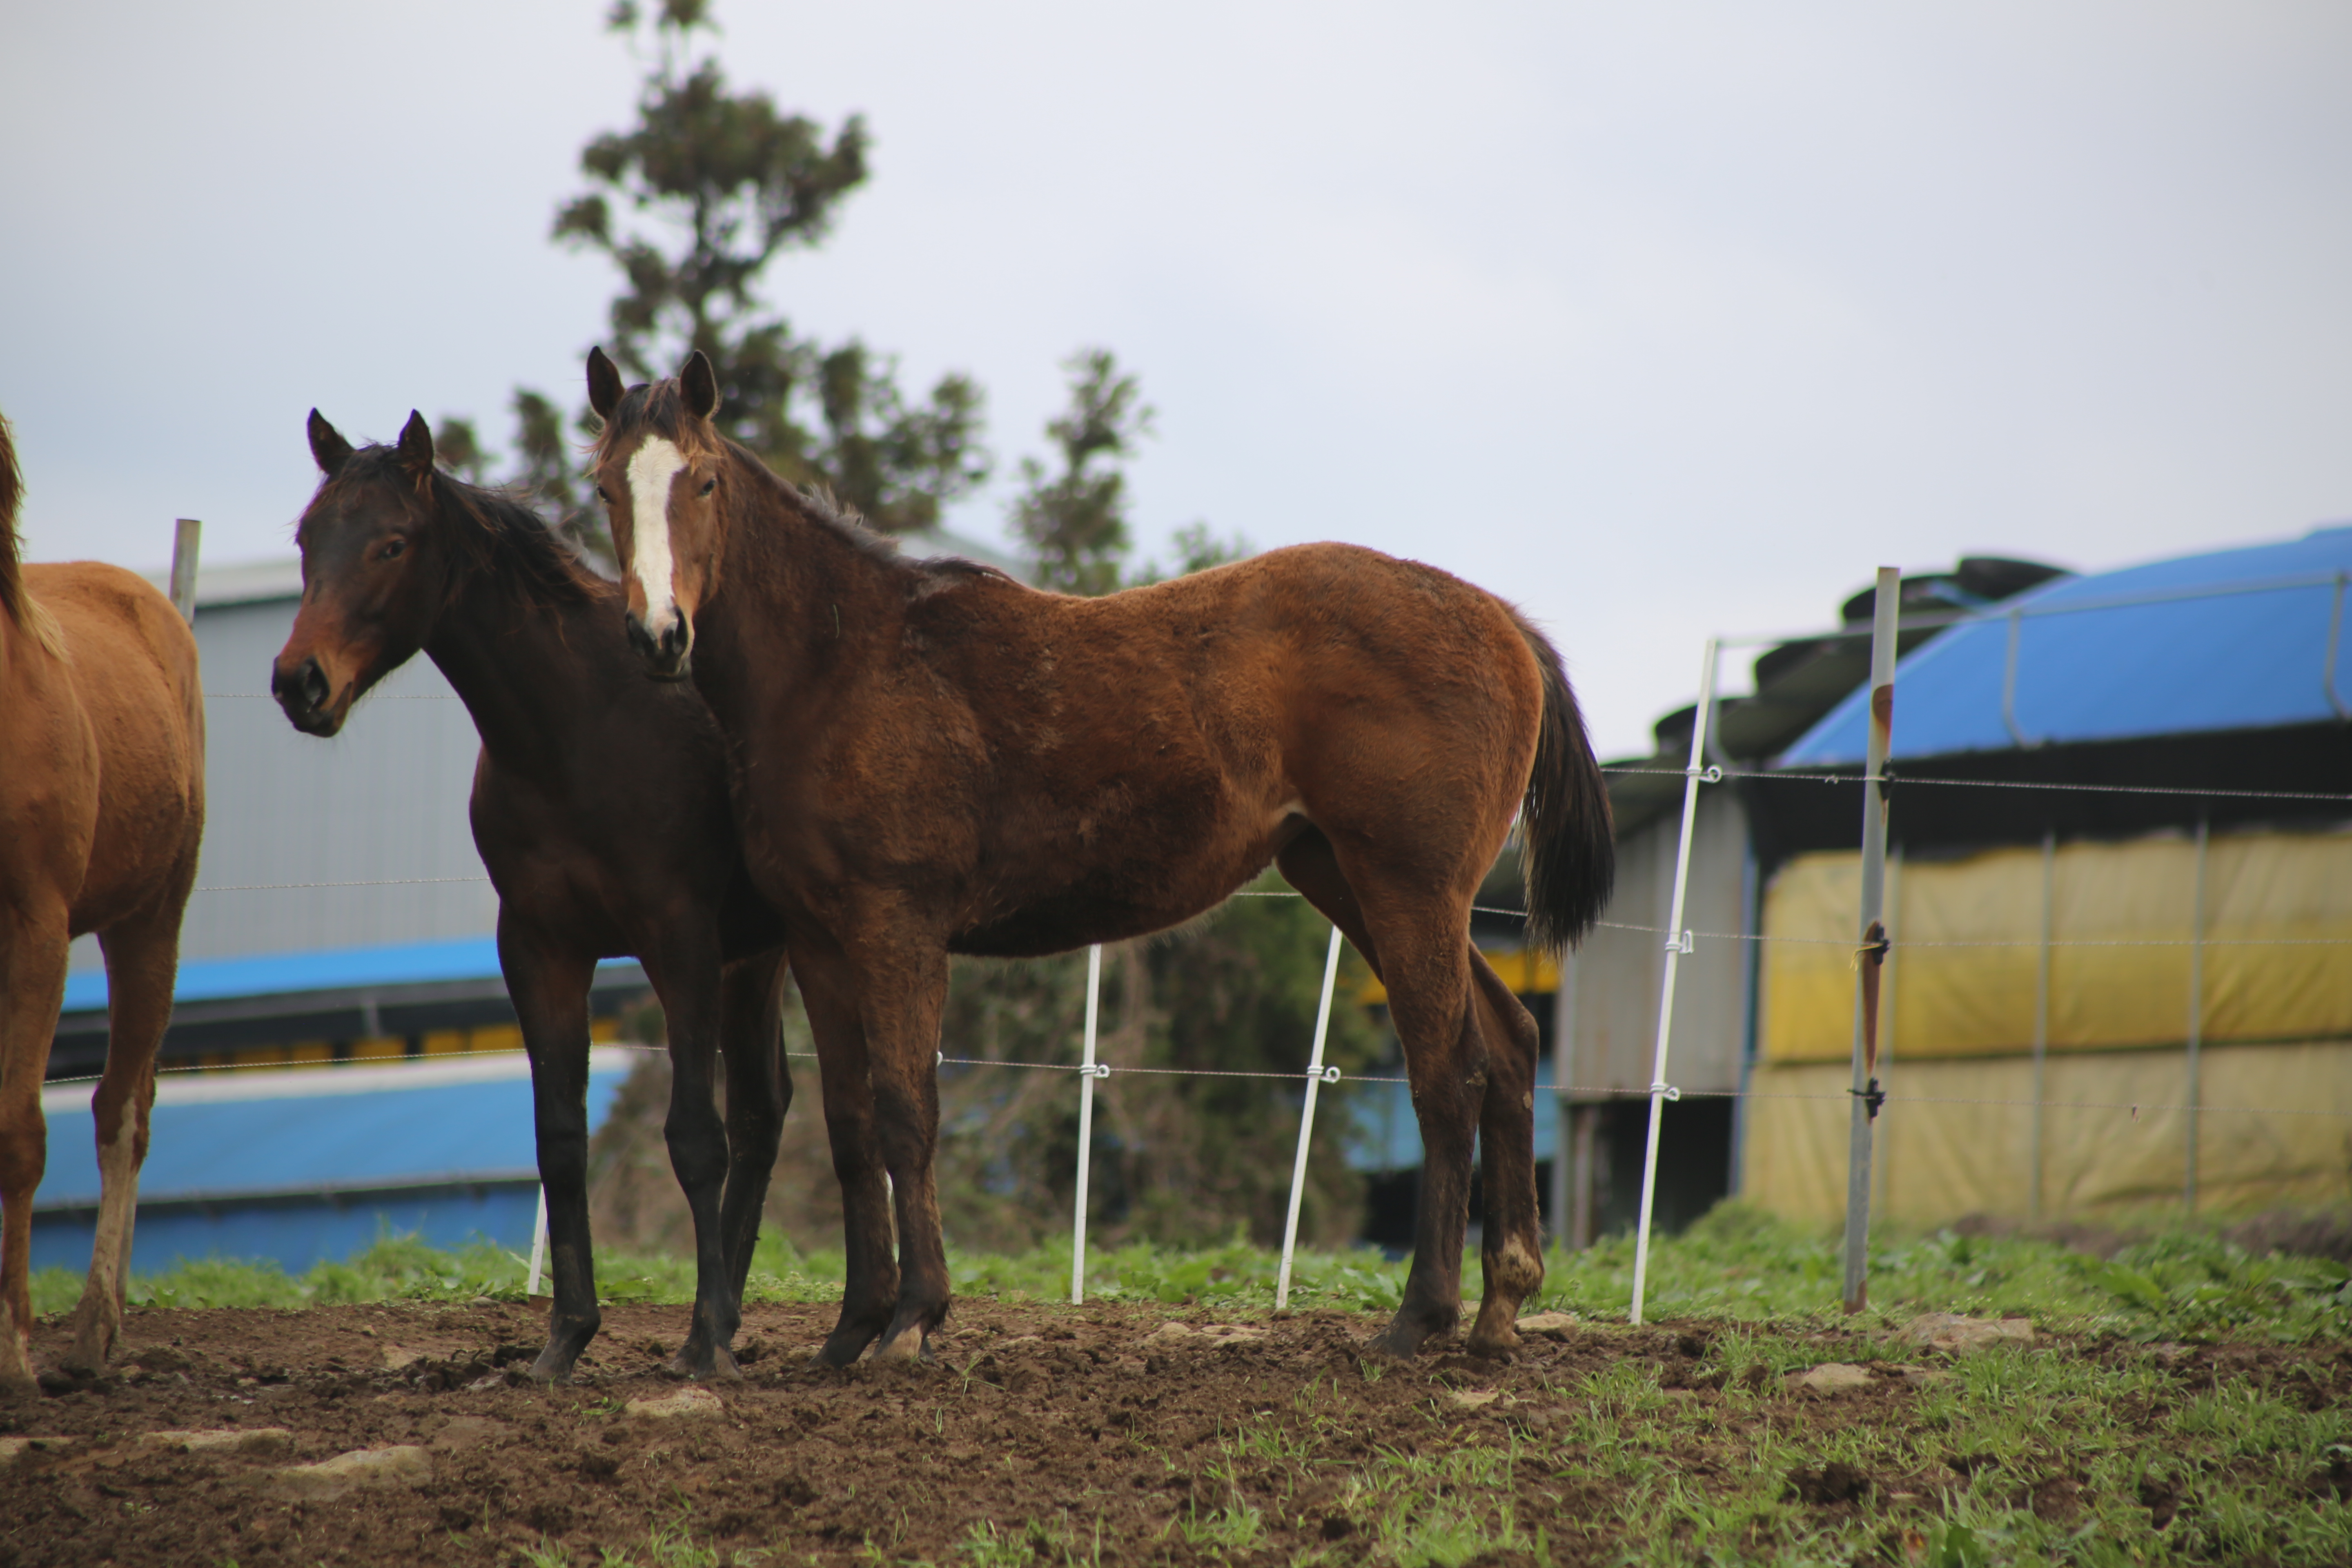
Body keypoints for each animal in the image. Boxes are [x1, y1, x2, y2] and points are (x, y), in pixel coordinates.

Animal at [269, 411, 828, 1382]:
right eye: (308, 539)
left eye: (392, 543)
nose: (301, 682)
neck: (579, 726)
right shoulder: (540, 949)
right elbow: (560, 1140)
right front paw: (567, 1337)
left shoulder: (678, 941)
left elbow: (693, 1137)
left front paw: (698, 1340)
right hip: (753, 957)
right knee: (764, 1111)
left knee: (763, 1117)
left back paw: (720, 1327)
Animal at [588, 352, 1618, 1363]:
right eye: (603, 486)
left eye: (703, 481)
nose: (658, 634)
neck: (840, 665)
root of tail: (1501, 619)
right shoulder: (819, 941)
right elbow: (849, 1125)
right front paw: (851, 1328)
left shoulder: (897, 928)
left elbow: (905, 1111)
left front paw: (914, 1315)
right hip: (1353, 881)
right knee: (1509, 1044)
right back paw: (1499, 1306)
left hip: (1407, 889)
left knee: (1450, 1074)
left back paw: (1420, 1317)